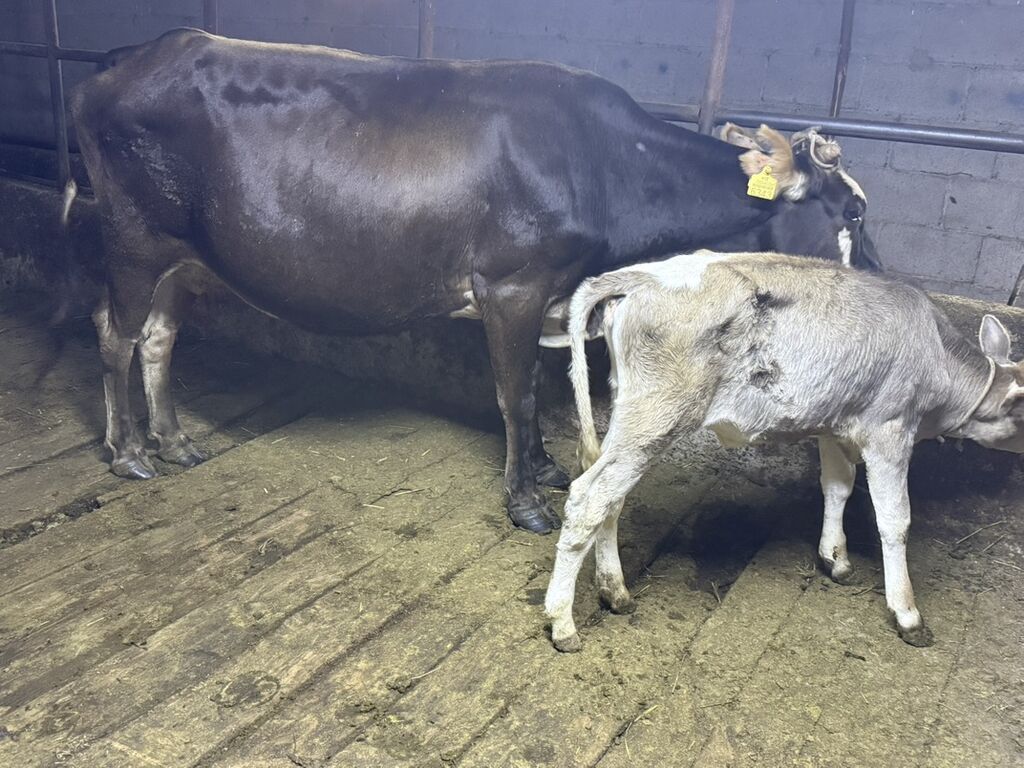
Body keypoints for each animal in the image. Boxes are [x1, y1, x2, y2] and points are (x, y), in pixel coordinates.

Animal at [67, 28, 876, 535]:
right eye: (853, 214)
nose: (878, 288)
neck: (603, 161)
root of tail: (131, 56)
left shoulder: (549, 293)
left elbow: (537, 391)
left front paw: (545, 470)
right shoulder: (511, 284)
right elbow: (515, 394)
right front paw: (525, 503)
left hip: (183, 256)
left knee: (158, 338)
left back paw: (175, 441)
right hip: (132, 239)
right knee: (114, 332)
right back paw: (128, 452)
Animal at [544, 251, 1024, 651]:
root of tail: (642, 274)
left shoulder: (834, 422)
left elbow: (837, 487)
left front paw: (835, 558)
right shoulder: (890, 432)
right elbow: (895, 521)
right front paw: (907, 614)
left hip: (632, 415)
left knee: (610, 496)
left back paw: (615, 591)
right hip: (659, 414)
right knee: (588, 498)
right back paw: (563, 623)